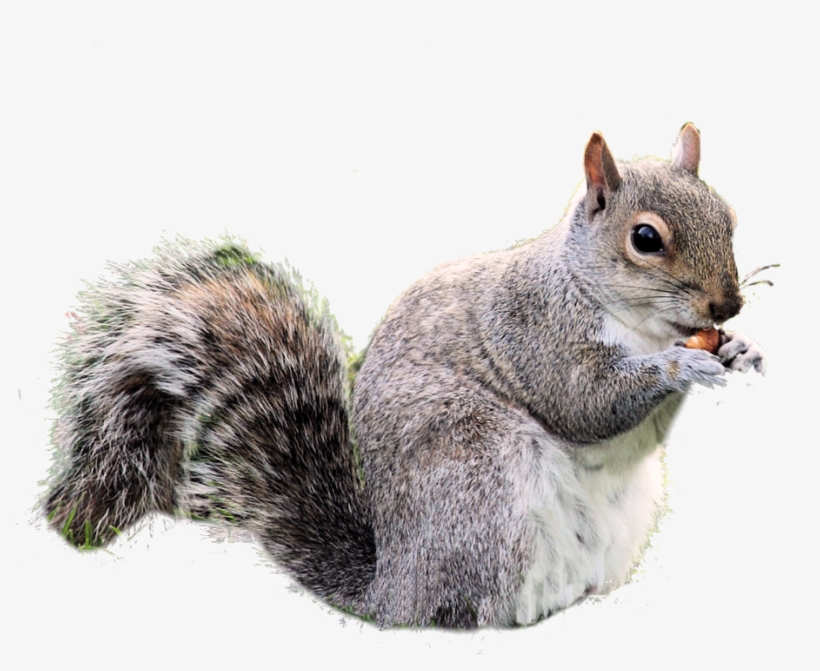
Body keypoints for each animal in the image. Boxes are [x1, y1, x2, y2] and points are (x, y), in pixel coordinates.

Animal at [43, 124, 766, 628]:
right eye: (645, 238)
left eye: (729, 218)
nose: (727, 306)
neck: (638, 321)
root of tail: (392, 590)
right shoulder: (534, 330)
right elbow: (584, 402)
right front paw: (682, 363)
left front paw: (739, 349)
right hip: (483, 477)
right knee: (467, 611)